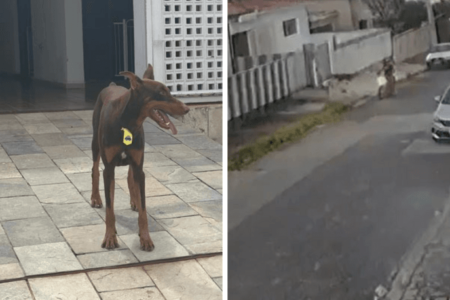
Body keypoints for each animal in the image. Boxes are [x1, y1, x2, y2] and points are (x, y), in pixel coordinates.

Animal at [91, 63, 190, 251]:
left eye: (168, 91)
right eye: (161, 93)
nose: (187, 109)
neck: (127, 123)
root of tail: (112, 85)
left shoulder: (139, 166)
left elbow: (144, 209)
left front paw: (145, 238)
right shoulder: (109, 169)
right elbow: (110, 209)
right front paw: (110, 237)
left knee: (130, 176)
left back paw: (134, 200)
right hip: (95, 143)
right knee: (94, 170)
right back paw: (95, 198)